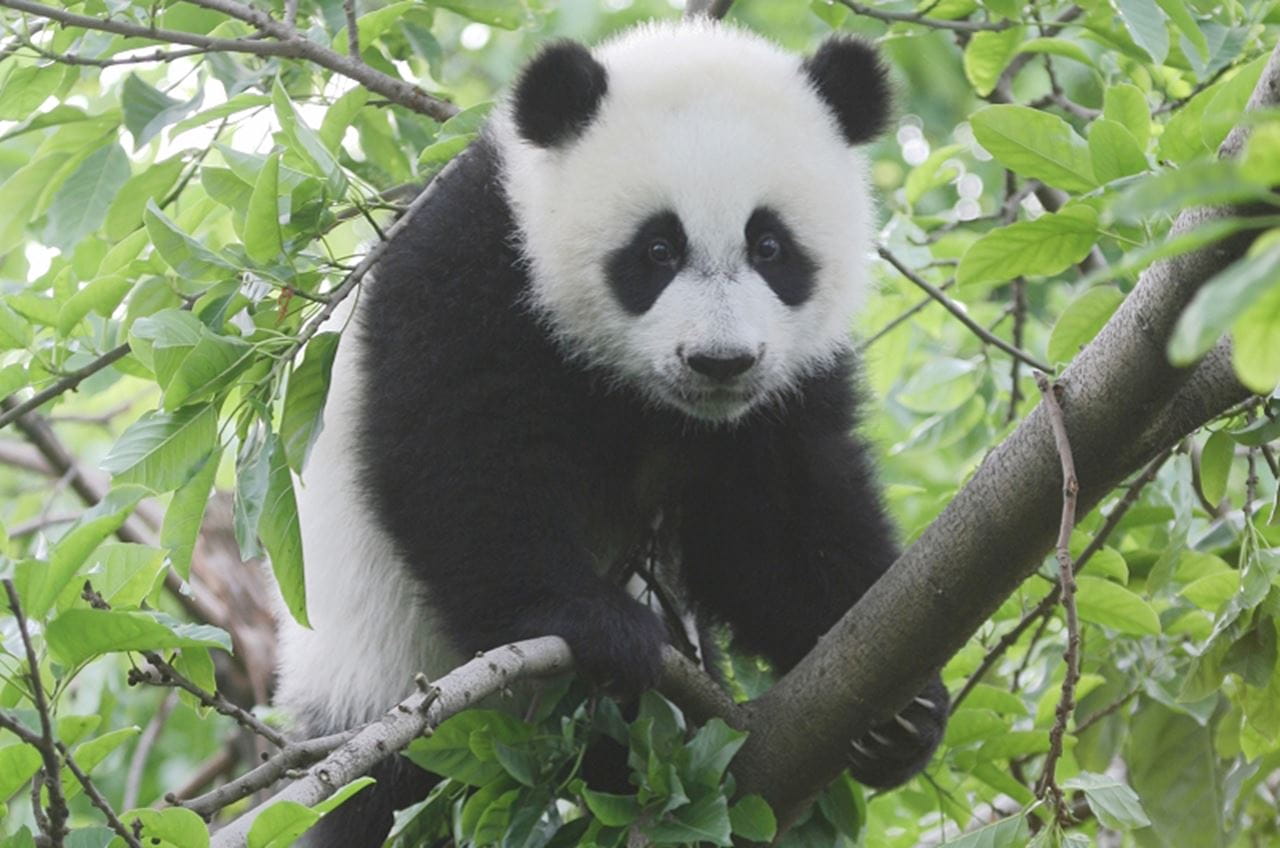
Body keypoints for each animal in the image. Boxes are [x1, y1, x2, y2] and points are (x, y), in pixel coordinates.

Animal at [276, 19, 948, 847]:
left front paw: (900, 714)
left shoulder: (780, 391)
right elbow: (462, 460)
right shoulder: (474, 268)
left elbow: (774, 523)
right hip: (383, 677)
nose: (719, 362)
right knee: (377, 791)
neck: (651, 400)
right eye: (658, 250)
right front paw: (598, 627)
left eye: (771, 247)